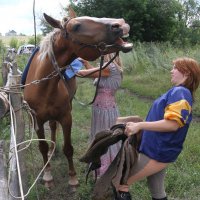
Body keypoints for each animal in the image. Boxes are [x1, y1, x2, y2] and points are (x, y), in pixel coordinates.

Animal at [23, 11, 132, 189]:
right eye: (76, 26)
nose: (121, 24)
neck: (42, 86)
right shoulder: (36, 120)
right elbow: (42, 146)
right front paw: (47, 175)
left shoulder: (66, 117)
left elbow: (68, 148)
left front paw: (73, 178)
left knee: (53, 126)